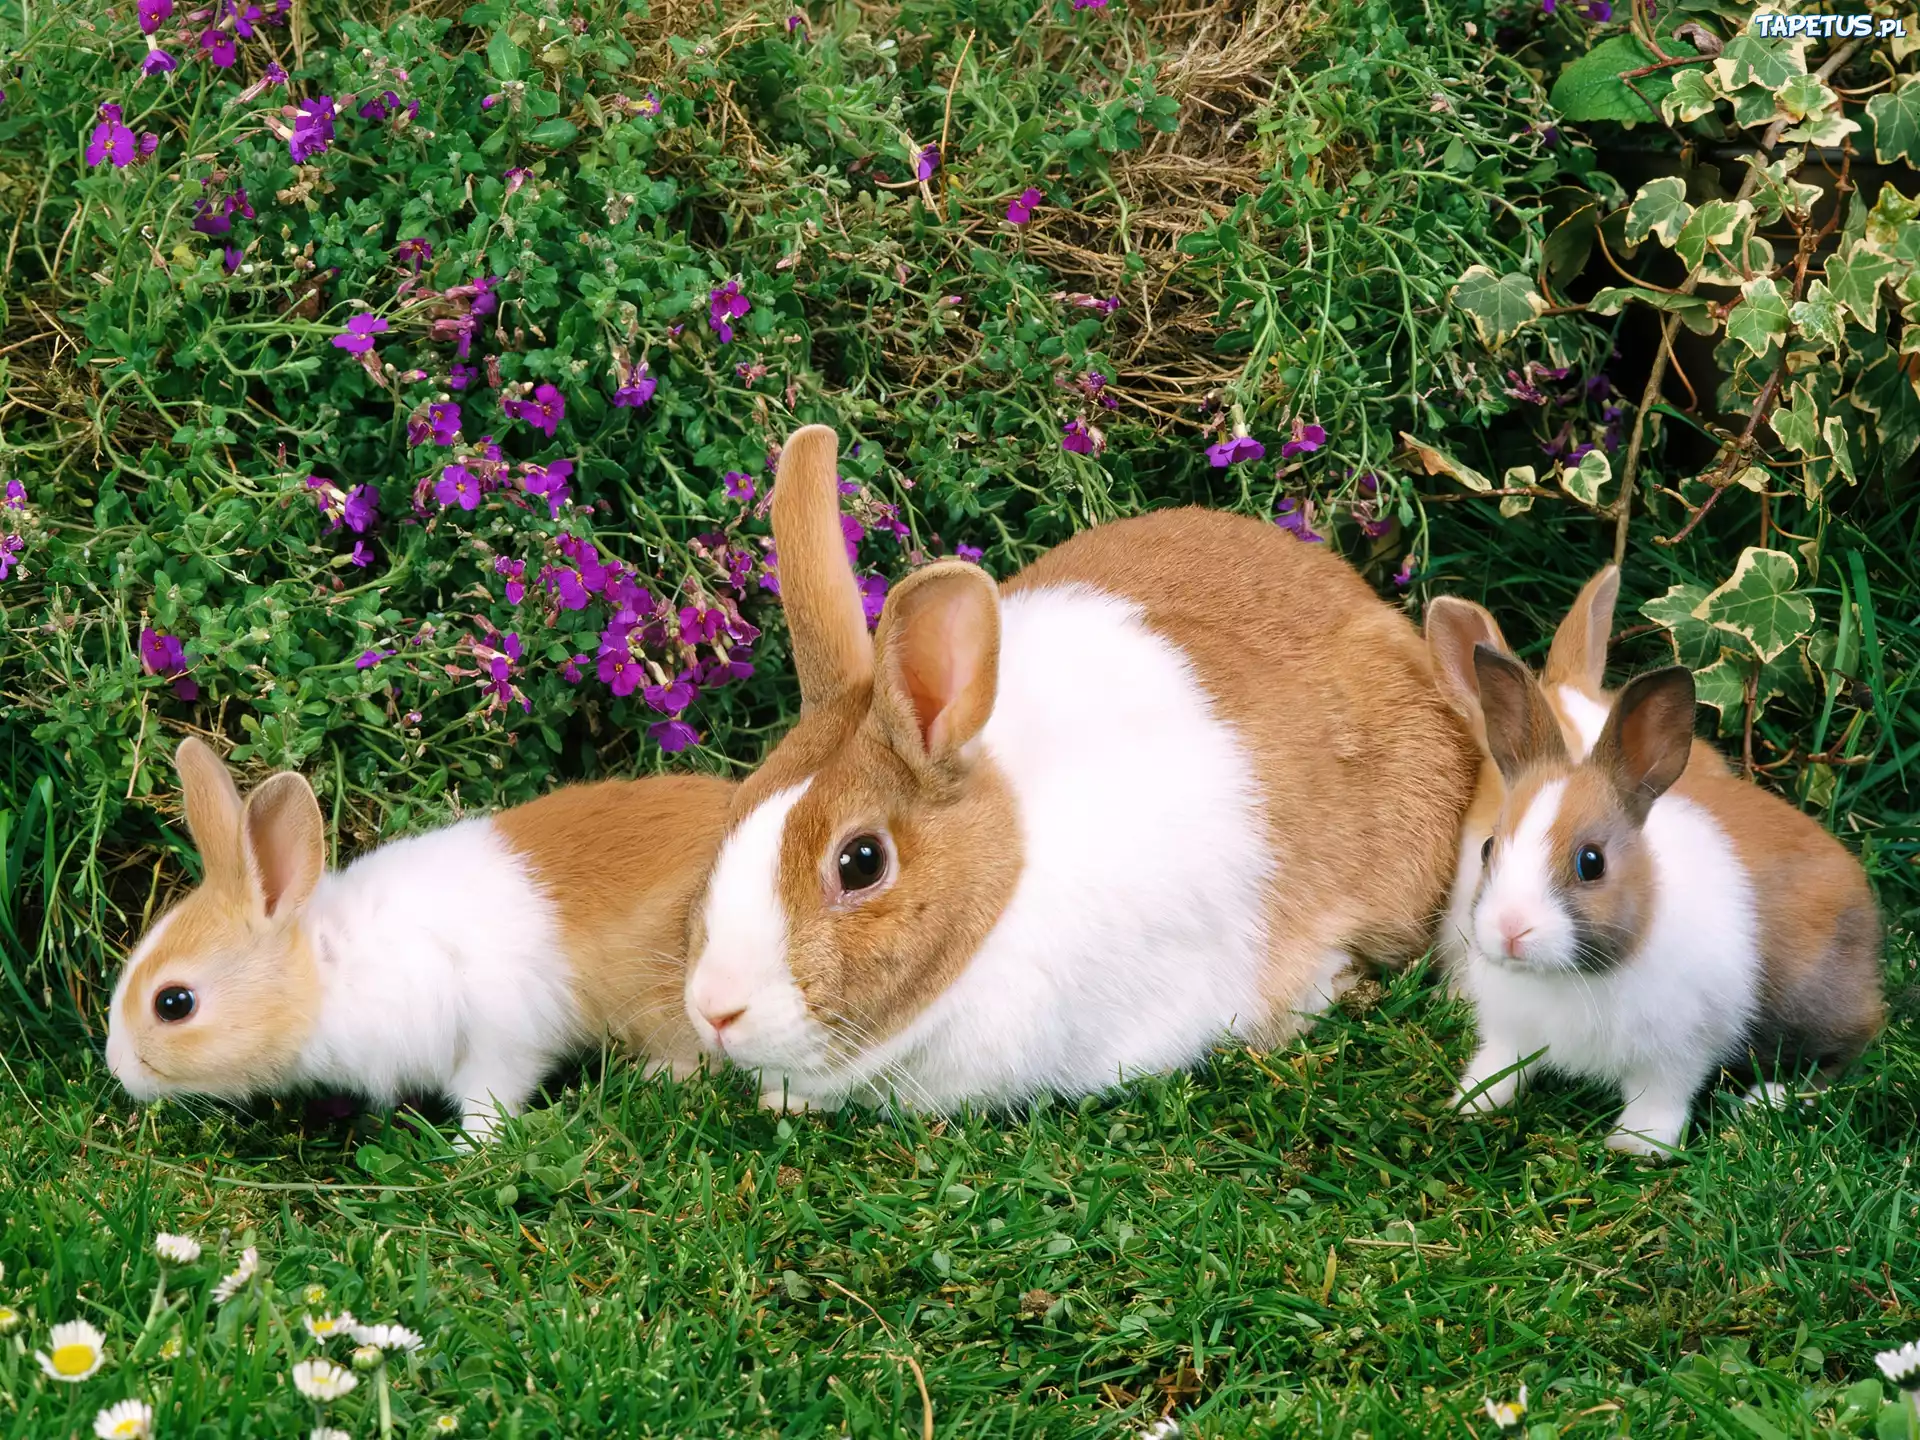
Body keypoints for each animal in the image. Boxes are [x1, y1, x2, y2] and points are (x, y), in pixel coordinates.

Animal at [107, 744, 733, 1136]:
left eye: (174, 1003)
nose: (117, 1070)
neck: (328, 969)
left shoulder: (498, 1043)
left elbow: (490, 1100)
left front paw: (469, 1151)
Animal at [1451, 648, 1873, 1159]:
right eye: (1488, 847)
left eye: (1591, 862)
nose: (1511, 929)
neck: (1568, 976)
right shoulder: (1512, 1032)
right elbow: (1501, 1066)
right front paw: (1471, 1102)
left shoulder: (1679, 1048)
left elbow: (1660, 1095)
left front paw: (1635, 1146)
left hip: (1811, 1009)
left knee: (1847, 1054)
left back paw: (1763, 1101)